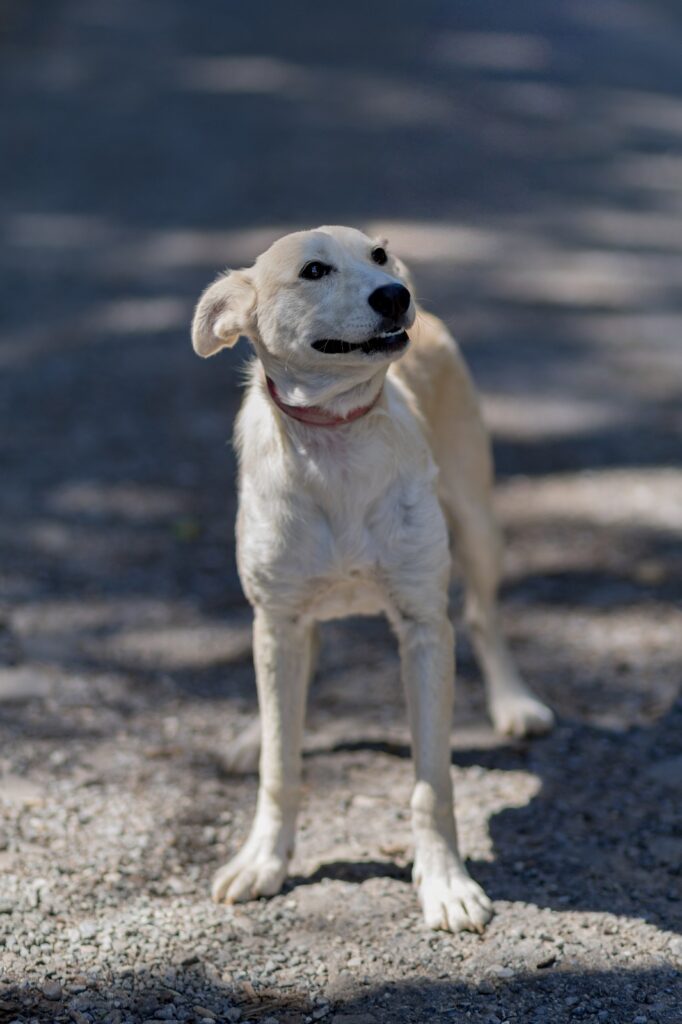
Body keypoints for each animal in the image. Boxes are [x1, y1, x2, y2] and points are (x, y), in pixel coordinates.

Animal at [191, 225, 553, 932]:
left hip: (477, 519)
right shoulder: (278, 618)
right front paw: (262, 858)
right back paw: (252, 733)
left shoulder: (423, 626)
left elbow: (431, 784)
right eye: (313, 270)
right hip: (281, 615)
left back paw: (514, 702)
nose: (395, 295)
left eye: (378, 255)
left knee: (483, 617)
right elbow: (281, 763)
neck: (337, 450)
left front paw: (445, 885)